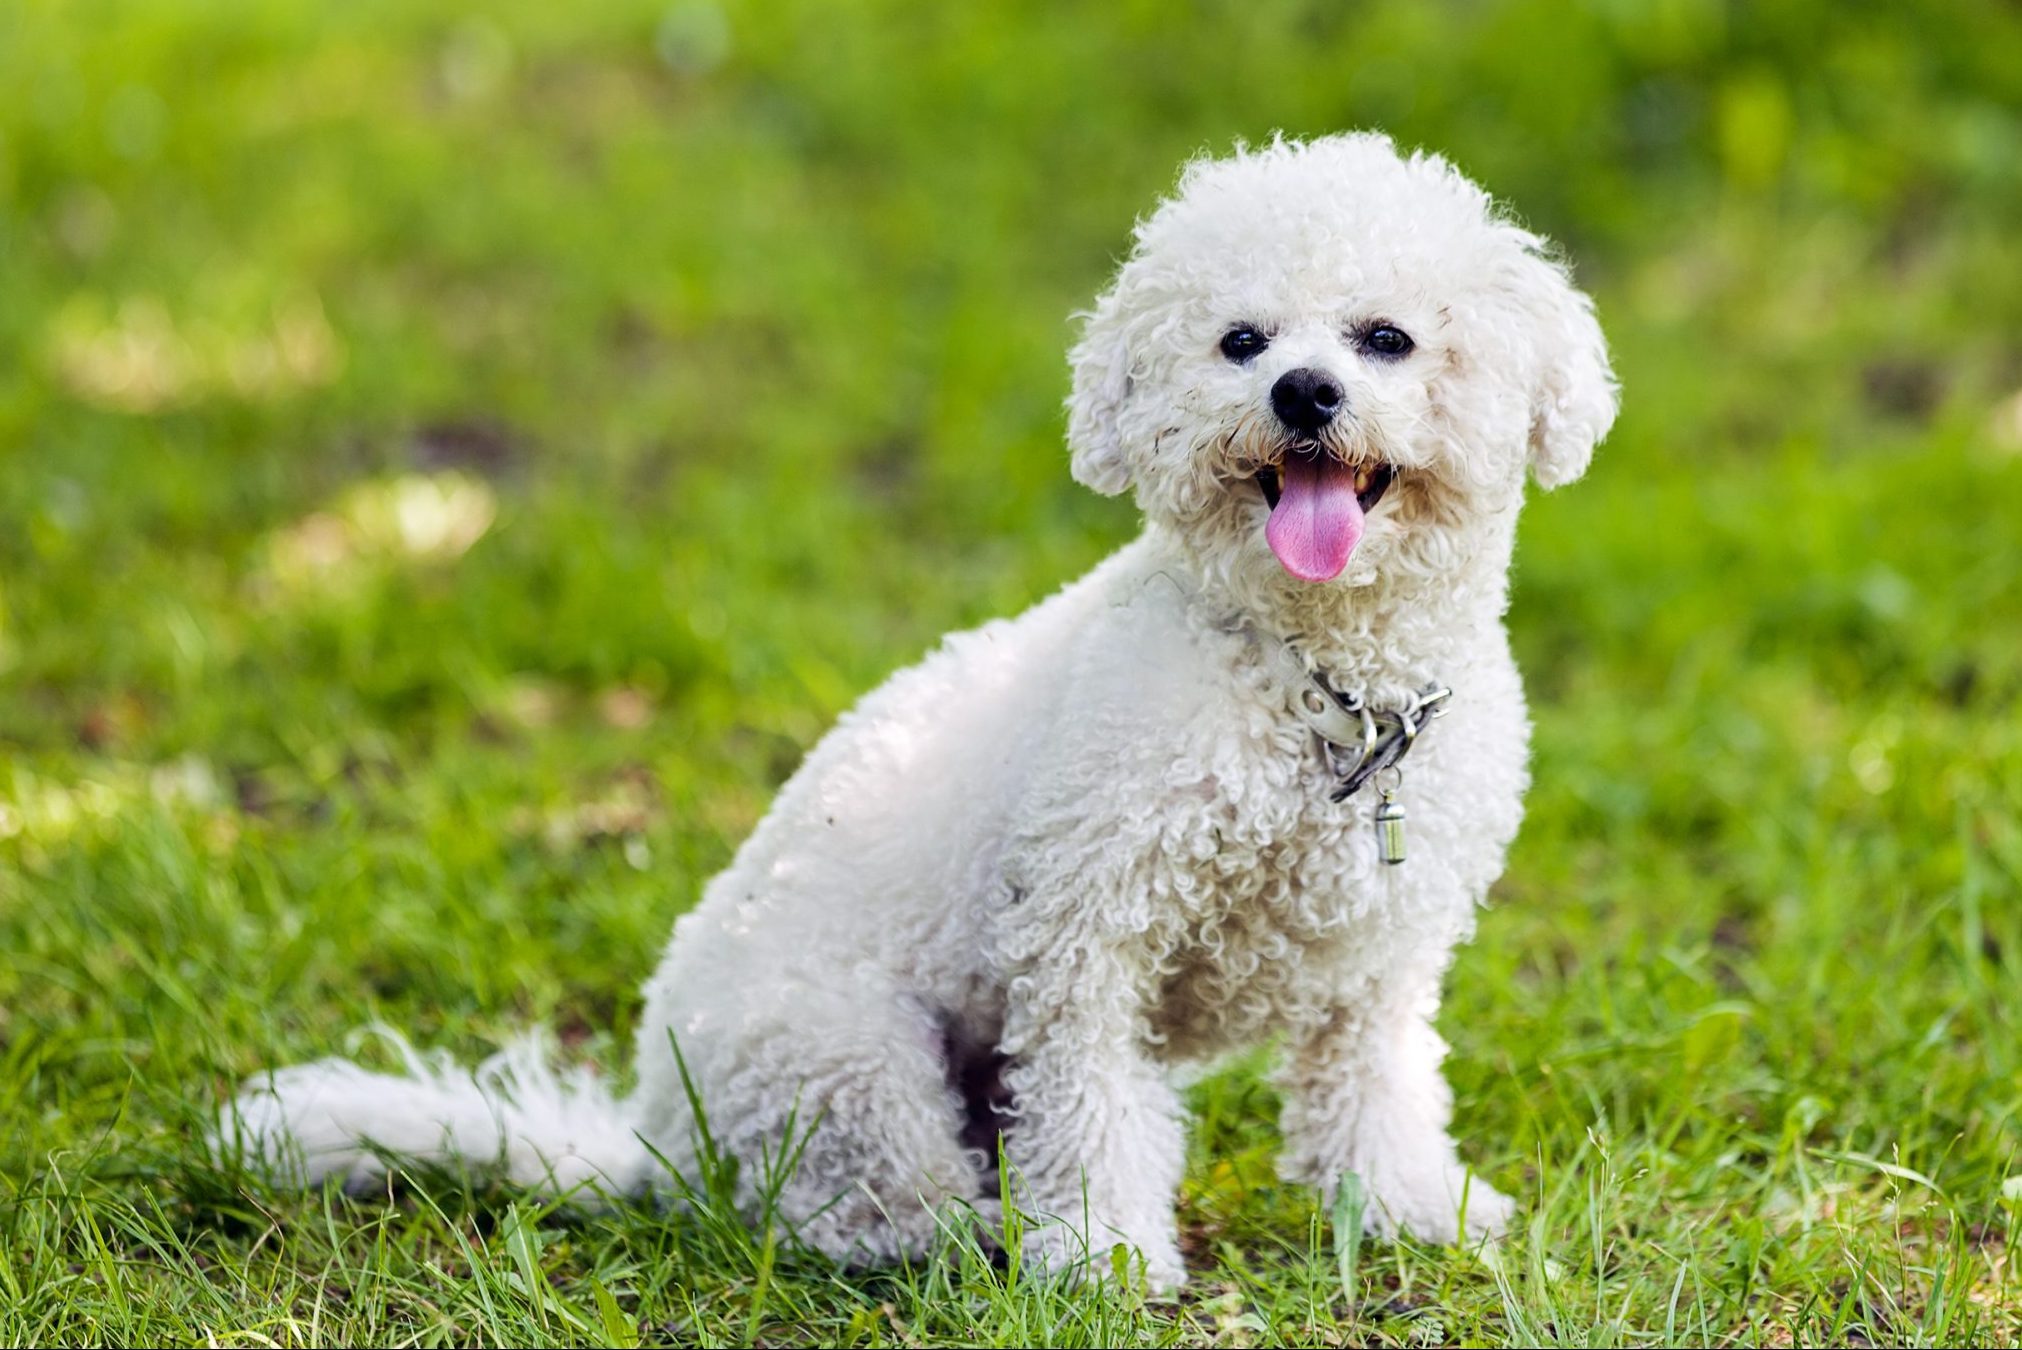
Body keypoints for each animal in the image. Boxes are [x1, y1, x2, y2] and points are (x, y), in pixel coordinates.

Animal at [225, 131, 1609, 1293]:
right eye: (1239, 342)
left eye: (1385, 339)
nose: (1304, 394)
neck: (1319, 683)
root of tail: (653, 1136)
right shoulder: (1086, 942)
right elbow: (1092, 1114)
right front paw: (1101, 1260)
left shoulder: (1380, 963)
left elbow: (1373, 1094)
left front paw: (1408, 1210)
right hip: (845, 1059)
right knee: (857, 1209)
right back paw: (966, 1235)